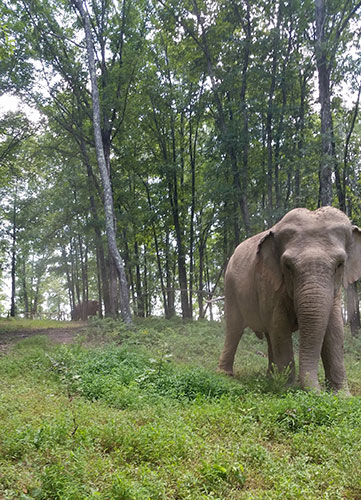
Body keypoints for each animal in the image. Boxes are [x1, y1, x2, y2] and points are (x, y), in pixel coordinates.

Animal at [217, 208, 360, 394]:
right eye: (288, 265)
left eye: (340, 264)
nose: (319, 391)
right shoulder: (269, 283)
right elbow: (280, 326)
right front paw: (288, 389)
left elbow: (335, 330)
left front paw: (342, 395)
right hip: (230, 287)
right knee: (234, 329)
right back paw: (225, 375)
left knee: (268, 335)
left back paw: (270, 377)